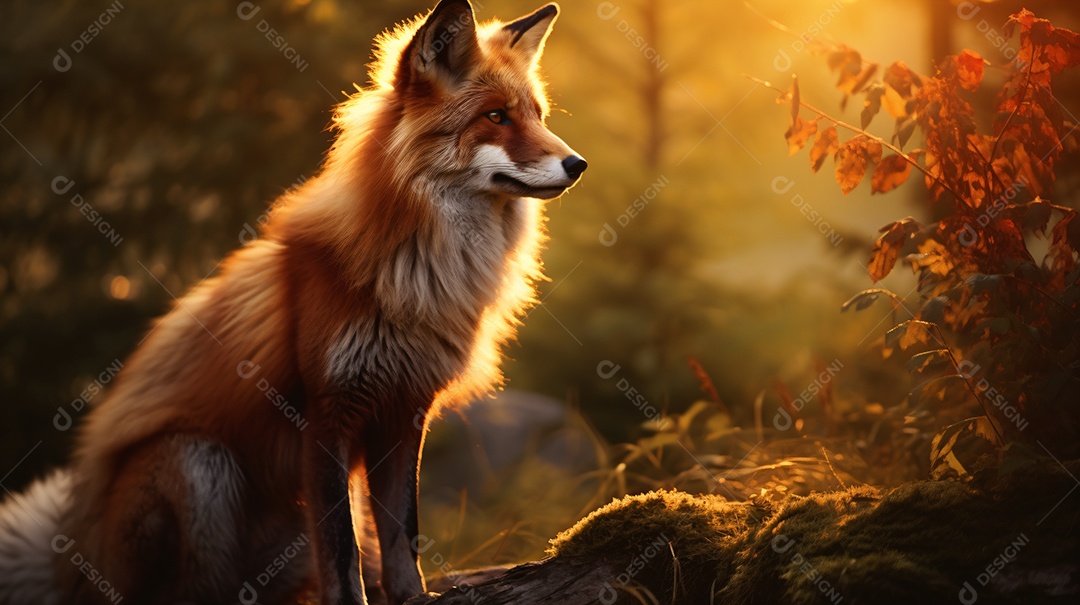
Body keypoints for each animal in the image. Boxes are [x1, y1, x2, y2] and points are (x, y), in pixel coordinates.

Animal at [0, 1, 586, 603]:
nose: (578, 164)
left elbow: (403, 534)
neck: (419, 278)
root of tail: (75, 562)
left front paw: (412, 597)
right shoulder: (326, 413)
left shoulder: (404, 413)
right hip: (197, 461)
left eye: (537, 115)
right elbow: (342, 549)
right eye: (496, 117)